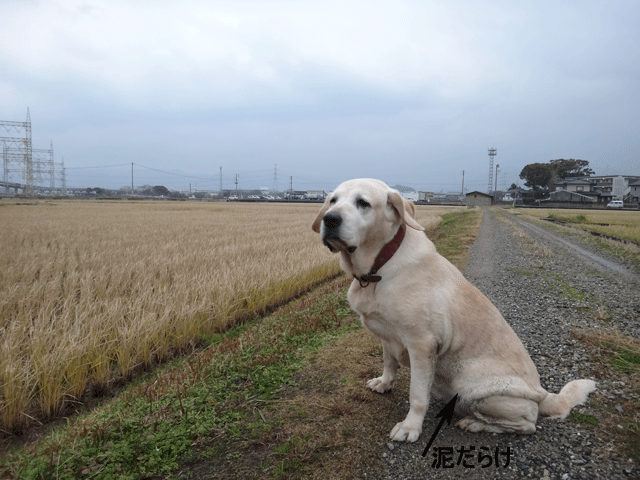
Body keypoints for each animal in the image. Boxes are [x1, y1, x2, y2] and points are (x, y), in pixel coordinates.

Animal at [312, 179, 596, 442]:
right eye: (333, 201)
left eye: (363, 203)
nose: (330, 219)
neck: (379, 266)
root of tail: (544, 394)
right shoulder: (387, 334)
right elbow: (389, 361)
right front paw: (384, 383)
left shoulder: (421, 344)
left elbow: (417, 394)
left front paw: (411, 427)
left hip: (477, 388)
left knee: (527, 424)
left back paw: (475, 423)